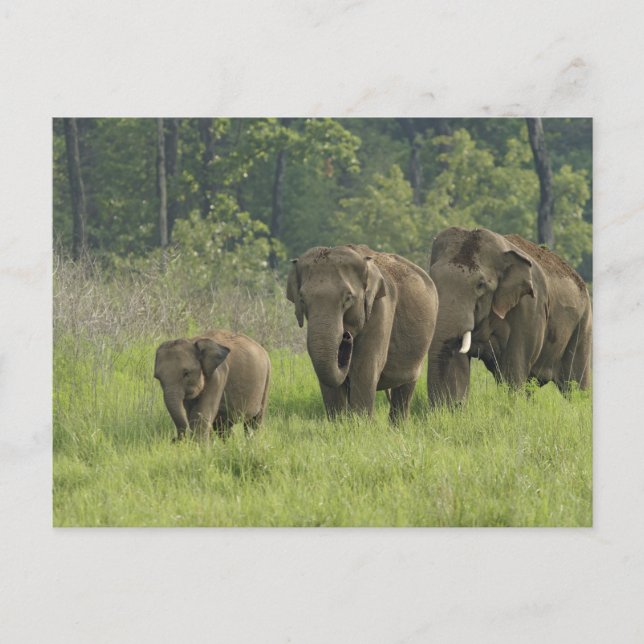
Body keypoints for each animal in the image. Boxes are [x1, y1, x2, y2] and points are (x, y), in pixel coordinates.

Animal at [286, 244, 438, 421]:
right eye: (302, 299)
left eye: (348, 298)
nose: (346, 337)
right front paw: (339, 423)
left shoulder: (381, 309)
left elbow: (365, 368)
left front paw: (361, 423)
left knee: (405, 388)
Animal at [426, 227, 592, 405]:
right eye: (432, 278)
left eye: (480, 285)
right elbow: (458, 362)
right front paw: (451, 407)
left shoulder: (529, 307)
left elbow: (514, 367)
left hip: (583, 324)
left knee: (575, 384)